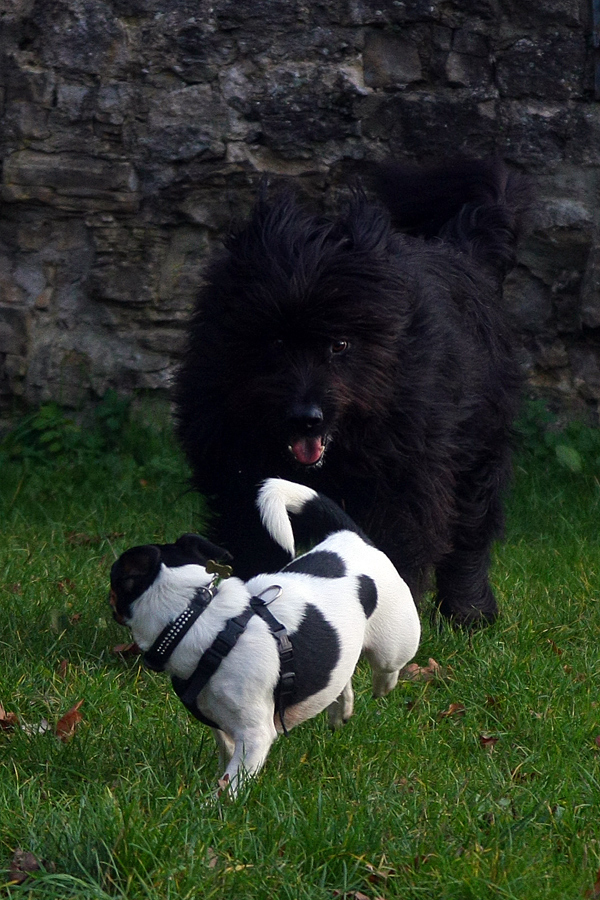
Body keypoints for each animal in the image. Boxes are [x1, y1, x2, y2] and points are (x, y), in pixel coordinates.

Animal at [111, 478, 422, 796]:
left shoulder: (255, 736)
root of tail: (350, 537)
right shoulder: (223, 724)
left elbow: (231, 784)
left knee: (388, 667)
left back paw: (383, 685)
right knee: (340, 674)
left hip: (394, 644)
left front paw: (212, 804)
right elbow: (226, 758)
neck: (200, 620)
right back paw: (340, 708)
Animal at [175, 160, 528, 624]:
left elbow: (397, 547)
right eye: (276, 342)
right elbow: (257, 540)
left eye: (340, 344)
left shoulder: (404, 482)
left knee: (471, 533)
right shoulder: (239, 474)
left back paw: (470, 613)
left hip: (479, 450)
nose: (306, 417)